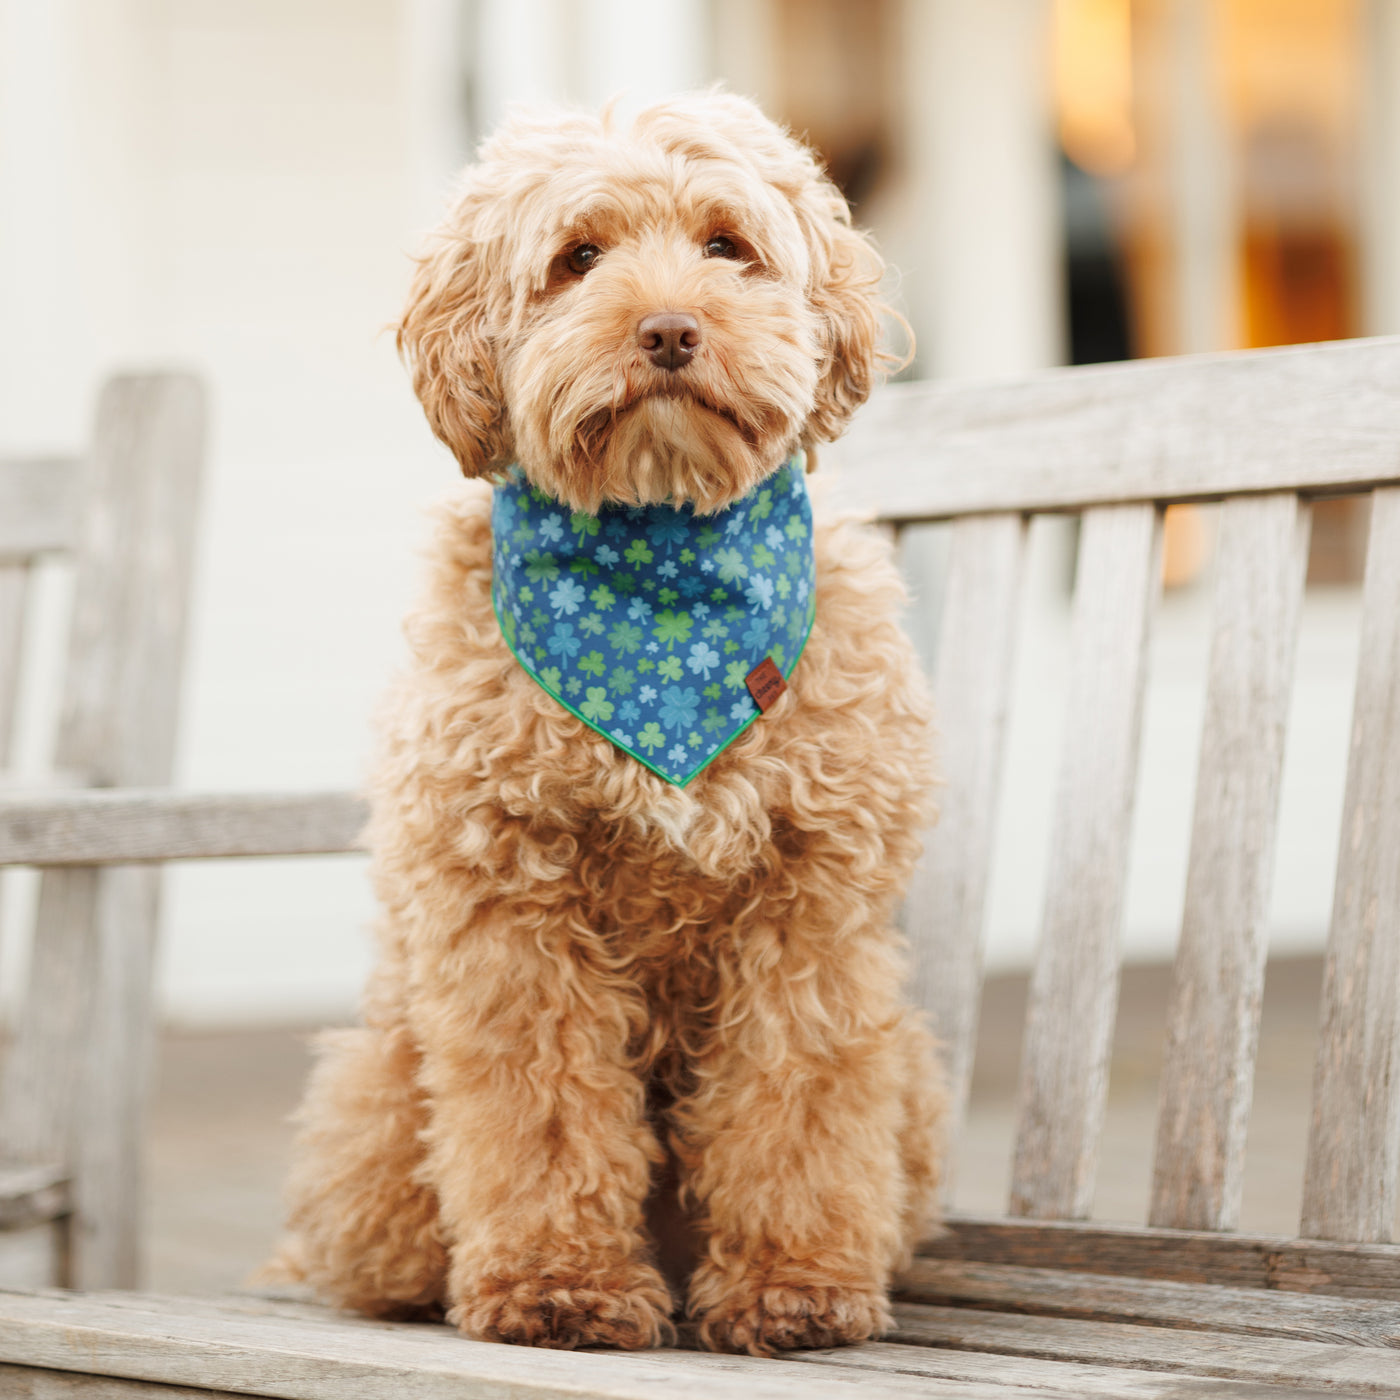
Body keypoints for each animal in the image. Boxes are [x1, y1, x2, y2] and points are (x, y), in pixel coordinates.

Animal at [278, 87, 946, 1355]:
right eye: (577, 258)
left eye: (727, 245)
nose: (670, 330)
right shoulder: (509, 910)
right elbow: (539, 1107)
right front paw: (558, 1285)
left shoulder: (809, 911)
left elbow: (796, 1099)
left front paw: (793, 1282)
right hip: (381, 1077)